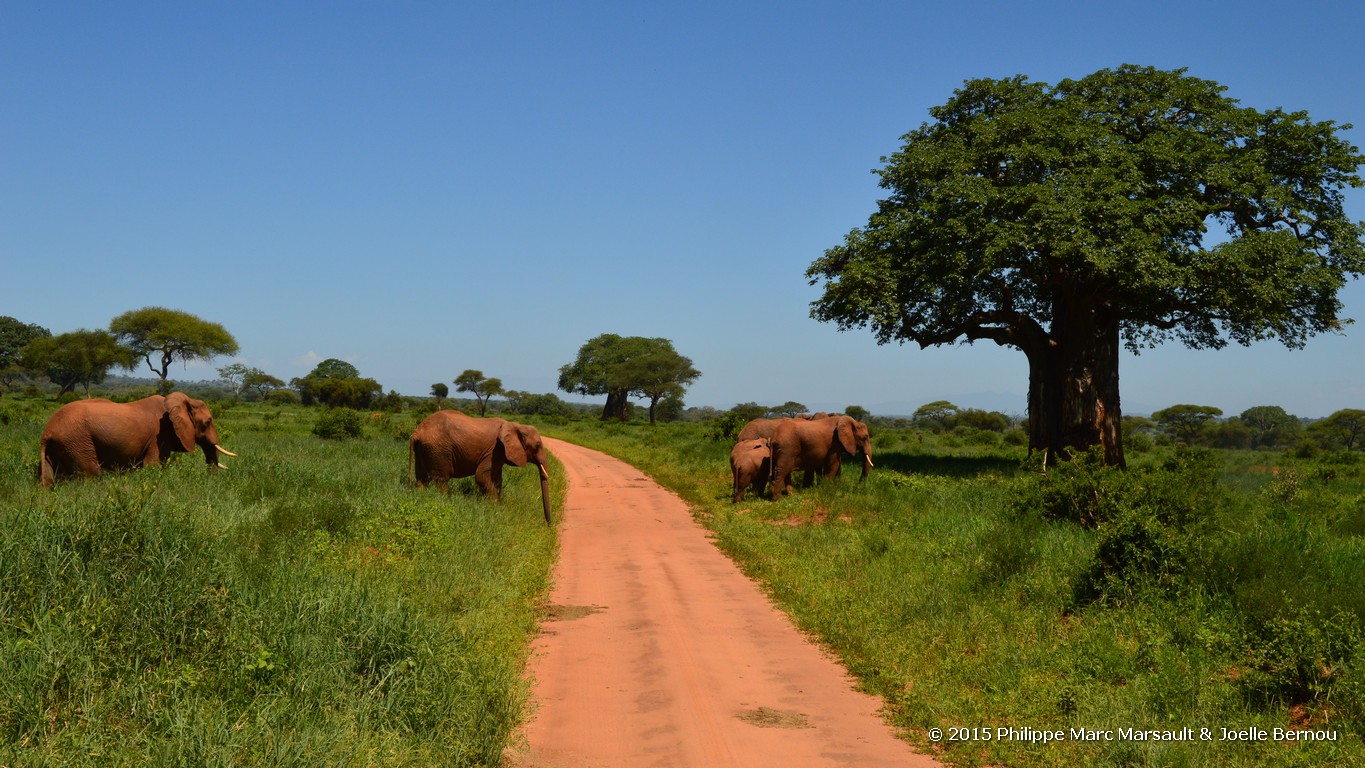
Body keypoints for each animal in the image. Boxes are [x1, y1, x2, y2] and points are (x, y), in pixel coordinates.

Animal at [39, 392, 237, 491]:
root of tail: (47, 432)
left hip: (61, 446)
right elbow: (154, 466)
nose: (212, 484)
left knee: (49, 480)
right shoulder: (160, 436)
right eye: (208, 422)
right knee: (91, 475)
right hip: (77, 442)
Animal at [406, 411, 551, 526]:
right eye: (537, 446)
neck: (516, 425)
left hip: (424, 448)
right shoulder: (494, 450)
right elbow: (481, 476)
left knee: (421, 477)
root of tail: (417, 432)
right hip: (438, 450)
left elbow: (496, 479)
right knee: (441, 480)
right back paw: (444, 499)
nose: (549, 525)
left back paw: (421, 494)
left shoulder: (498, 453)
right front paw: (495, 507)